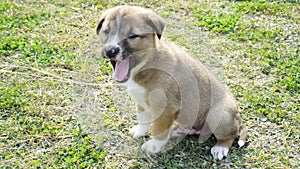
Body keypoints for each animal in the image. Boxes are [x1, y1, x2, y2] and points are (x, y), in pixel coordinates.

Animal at [96, 5, 246, 160]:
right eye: (106, 31)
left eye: (132, 36)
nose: (110, 51)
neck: (148, 63)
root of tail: (238, 118)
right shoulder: (141, 101)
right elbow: (143, 119)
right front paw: (140, 131)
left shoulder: (165, 108)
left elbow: (158, 131)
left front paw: (153, 147)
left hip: (219, 115)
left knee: (230, 134)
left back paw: (220, 148)